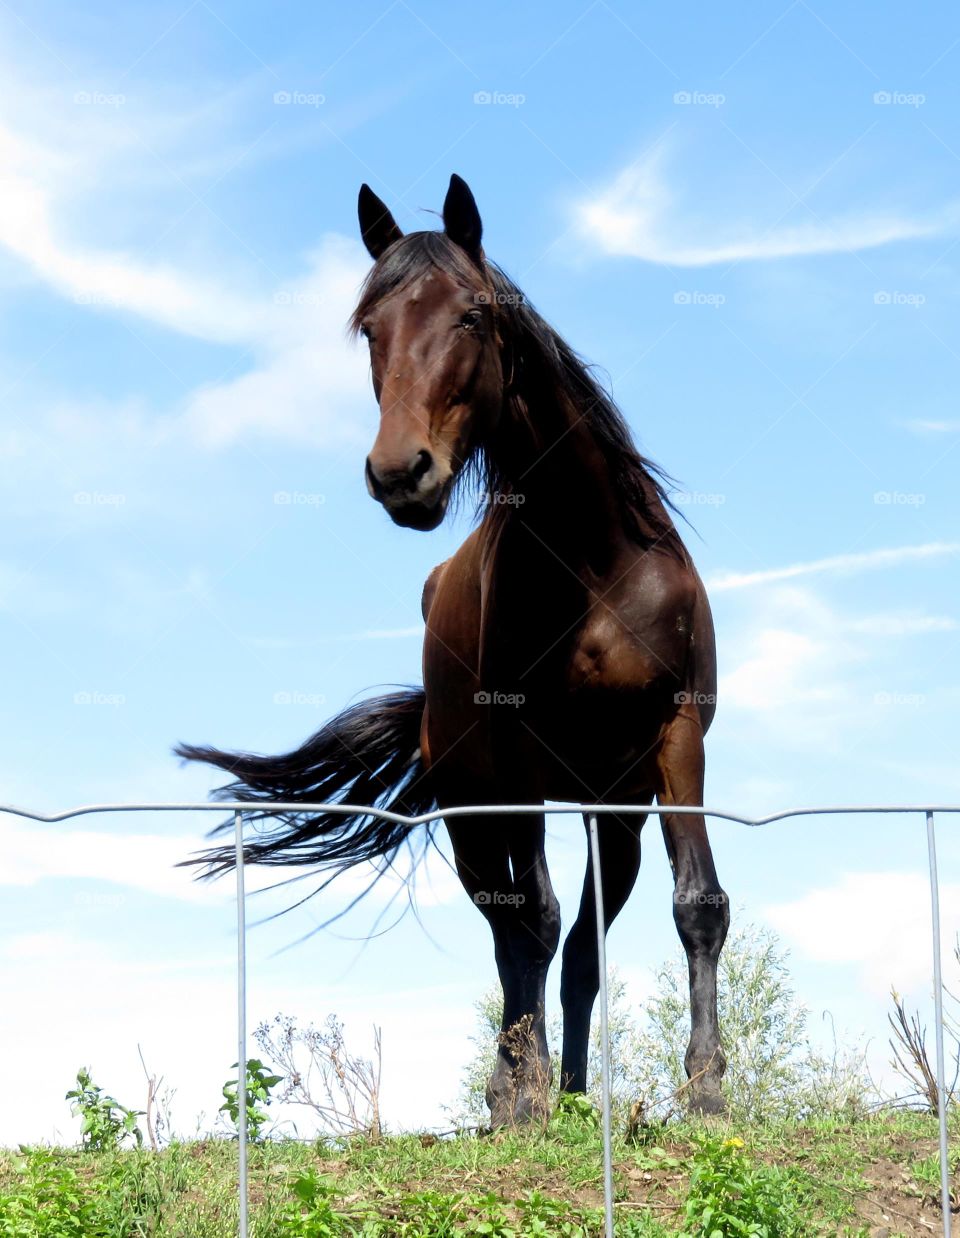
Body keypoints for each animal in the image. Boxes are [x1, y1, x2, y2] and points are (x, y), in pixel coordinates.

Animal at [175, 174, 728, 1134]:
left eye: (473, 314)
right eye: (371, 328)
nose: (403, 474)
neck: (597, 562)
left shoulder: (677, 739)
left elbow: (695, 906)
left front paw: (709, 1092)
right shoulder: (522, 762)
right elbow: (530, 921)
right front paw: (523, 1095)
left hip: (613, 813)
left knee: (580, 950)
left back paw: (576, 1092)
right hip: (476, 808)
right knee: (515, 932)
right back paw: (515, 1089)